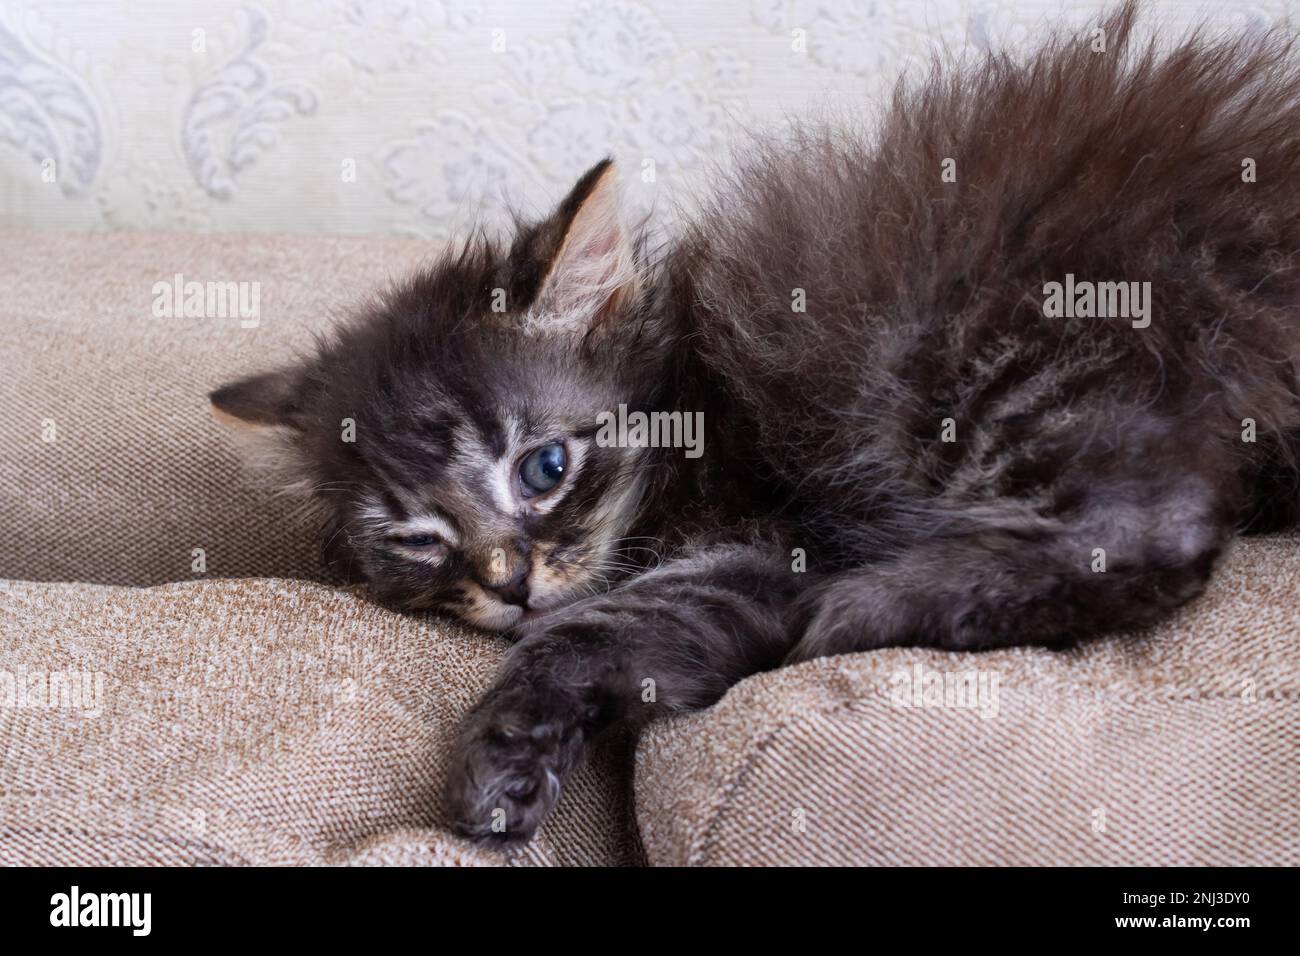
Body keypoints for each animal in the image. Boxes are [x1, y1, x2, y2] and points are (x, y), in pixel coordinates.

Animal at [208, 5, 1300, 842]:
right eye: (419, 540)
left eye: (543, 466)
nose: (508, 582)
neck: (683, 395)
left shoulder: (758, 547)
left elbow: (593, 625)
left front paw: (500, 751)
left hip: (965, 349)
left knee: (1154, 532)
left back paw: (867, 607)